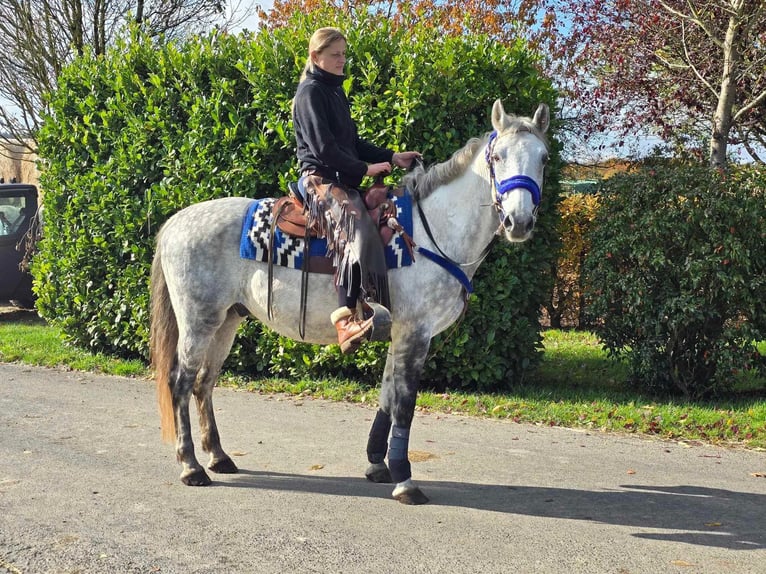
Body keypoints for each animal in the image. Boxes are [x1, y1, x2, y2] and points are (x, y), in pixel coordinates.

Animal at [152, 99, 552, 504]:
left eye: (544, 158)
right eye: (498, 156)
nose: (518, 221)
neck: (431, 231)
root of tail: (175, 222)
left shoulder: (400, 332)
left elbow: (387, 396)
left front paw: (378, 464)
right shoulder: (415, 333)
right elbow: (404, 404)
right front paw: (405, 481)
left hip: (226, 321)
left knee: (204, 382)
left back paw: (218, 456)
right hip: (198, 322)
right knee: (180, 382)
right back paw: (191, 466)